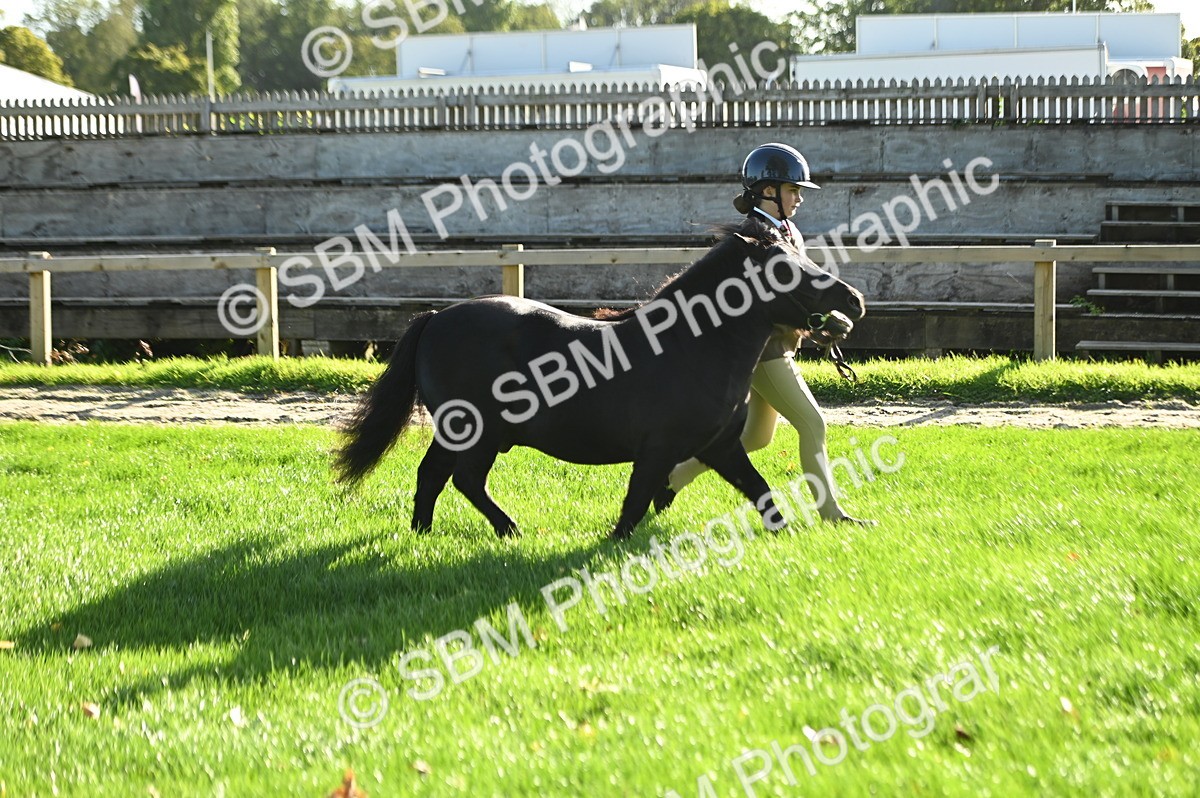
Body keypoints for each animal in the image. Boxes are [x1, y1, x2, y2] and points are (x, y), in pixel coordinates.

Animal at [335, 227, 866, 540]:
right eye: (785, 267)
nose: (853, 301)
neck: (690, 347)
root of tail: (435, 318)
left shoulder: (720, 446)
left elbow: (759, 490)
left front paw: (788, 532)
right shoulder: (658, 448)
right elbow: (635, 500)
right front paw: (614, 543)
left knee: (433, 476)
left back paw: (423, 534)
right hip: (475, 431)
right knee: (461, 478)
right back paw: (507, 529)